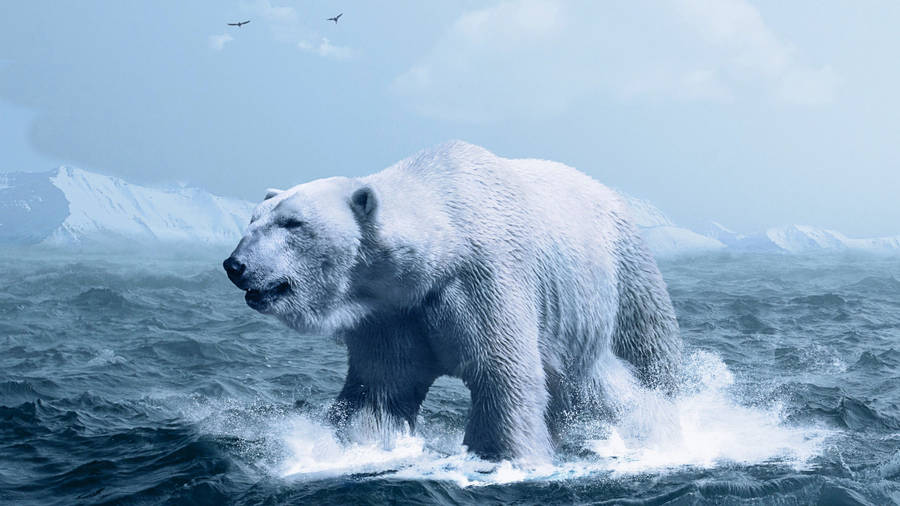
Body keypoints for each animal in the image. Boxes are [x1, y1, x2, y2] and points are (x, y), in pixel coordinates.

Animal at [223, 141, 681, 461]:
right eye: (253, 219)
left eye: (292, 223)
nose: (235, 265)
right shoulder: (394, 312)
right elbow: (380, 388)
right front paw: (352, 445)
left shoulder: (484, 279)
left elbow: (502, 372)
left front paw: (502, 456)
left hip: (622, 271)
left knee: (641, 354)